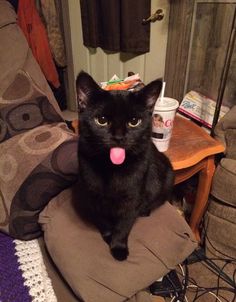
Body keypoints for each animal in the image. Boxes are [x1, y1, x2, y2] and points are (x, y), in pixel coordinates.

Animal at [75, 72, 173, 260]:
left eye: (134, 121)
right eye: (102, 120)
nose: (119, 137)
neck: (111, 168)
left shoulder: (132, 199)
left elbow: (124, 225)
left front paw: (119, 248)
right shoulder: (93, 196)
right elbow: (103, 221)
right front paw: (108, 236)